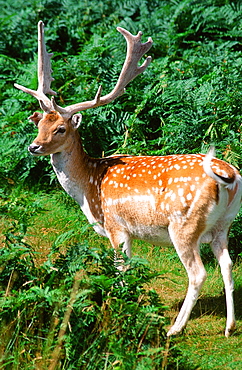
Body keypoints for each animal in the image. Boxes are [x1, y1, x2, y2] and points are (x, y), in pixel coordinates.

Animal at [14, 21, 241, 336]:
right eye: (39, 125)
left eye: (60, 128)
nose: (33, 147)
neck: (89, 187)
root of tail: (231, 176)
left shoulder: (116, 225)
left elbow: (120, 268)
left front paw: (119, 306)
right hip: (223, 225)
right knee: (227, 265)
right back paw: (229, 327)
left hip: (184, 224)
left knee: (198, 273)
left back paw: (175, 328)